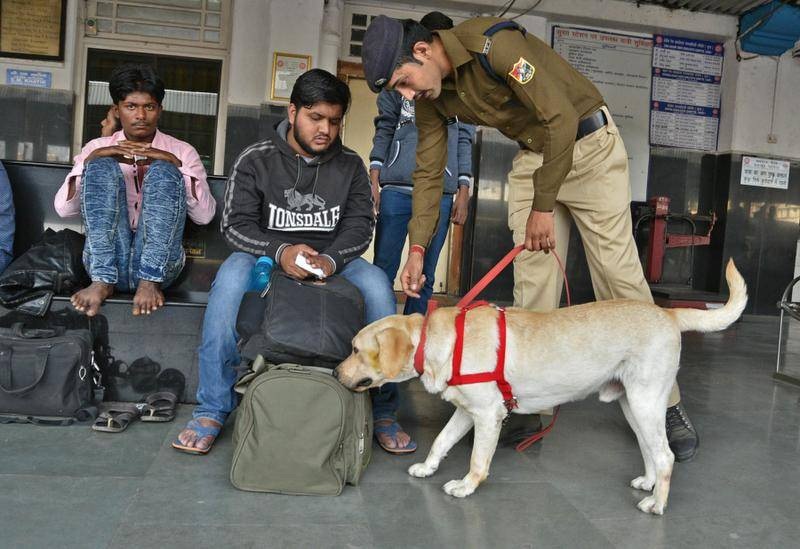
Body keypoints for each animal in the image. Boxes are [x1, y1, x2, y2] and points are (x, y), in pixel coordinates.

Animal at [335, 260, 747, 514]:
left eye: (355, 349)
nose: (336, 373)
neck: (443, 341)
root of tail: (668, 312)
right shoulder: (469, 413)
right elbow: (441, 441)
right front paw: (427, 467)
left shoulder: (488, 416)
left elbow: (477, 460)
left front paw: (466, 486)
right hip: (633, 404)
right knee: (651, 450)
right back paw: (647, 483)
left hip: (646, 402)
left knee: (665, 456)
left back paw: (657, 504)